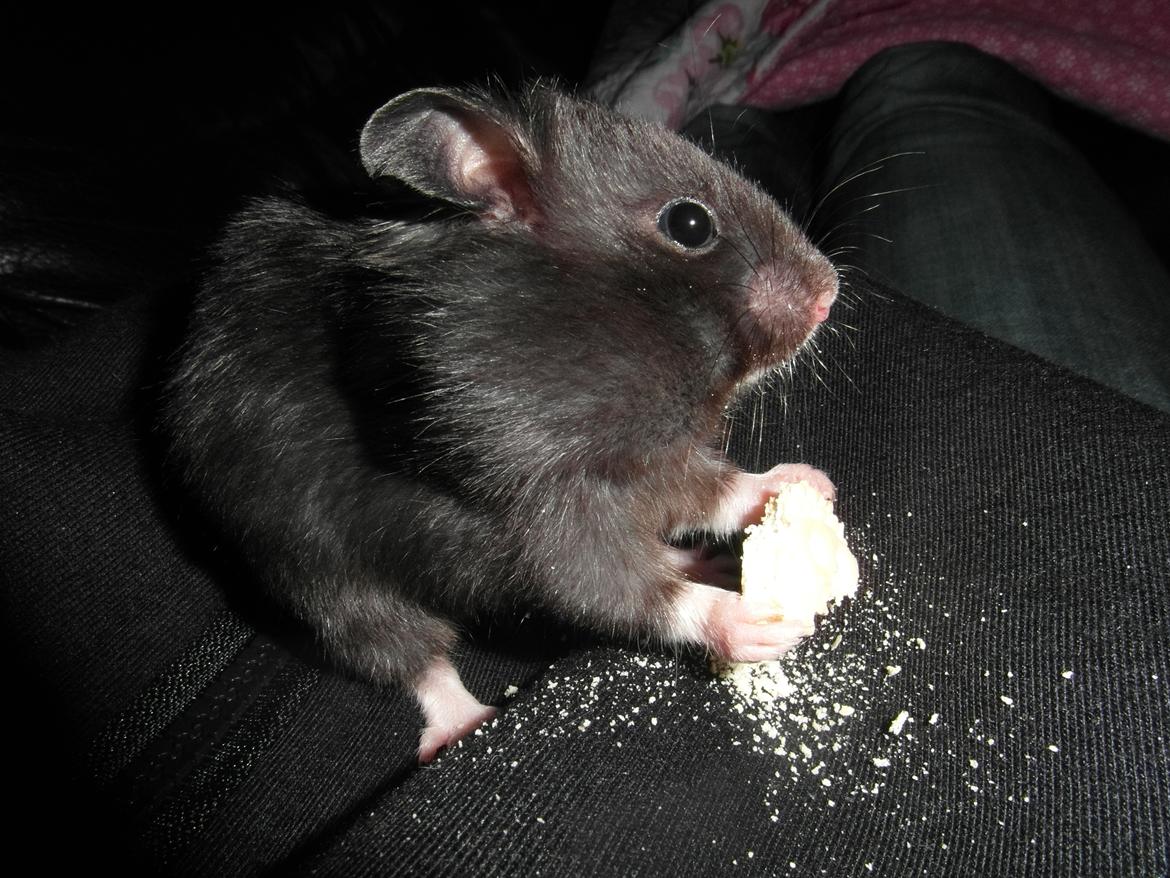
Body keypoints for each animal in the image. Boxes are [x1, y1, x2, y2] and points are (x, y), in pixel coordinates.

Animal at [161, 83, 840, 762]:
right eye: (689, 224)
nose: (829, 292)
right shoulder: (535, 506)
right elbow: (609, 585)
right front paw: (757, 627)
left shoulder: (654, 460)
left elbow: (714, 489)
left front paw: (809, 484)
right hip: (325, 580)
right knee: (412, 657)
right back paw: (466, 724)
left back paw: (712, 561)